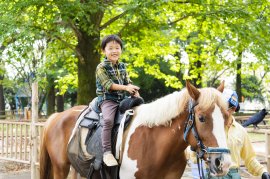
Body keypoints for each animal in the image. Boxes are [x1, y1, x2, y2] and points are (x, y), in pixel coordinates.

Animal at [40, 81, 232, 179]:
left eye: (228, 120)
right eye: (201, 118)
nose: (222, 163)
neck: (156, 145)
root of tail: (56, 117)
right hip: (60, 168)